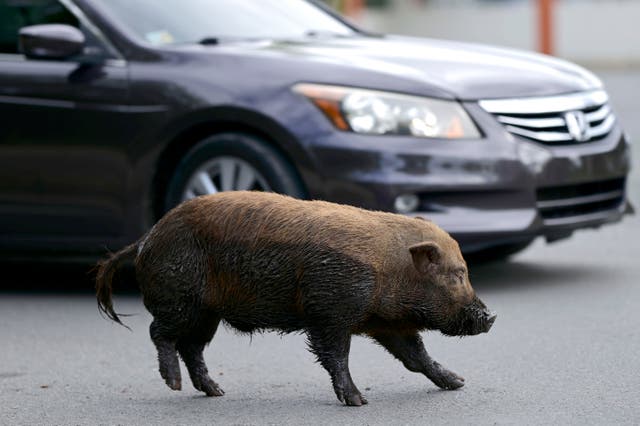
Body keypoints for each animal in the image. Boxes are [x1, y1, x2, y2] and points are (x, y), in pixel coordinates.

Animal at [96, 191, 496, 406]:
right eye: (457, 275)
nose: (490, 317)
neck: (389, 269)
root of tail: (146, 238)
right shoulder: (330, 312)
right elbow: (336, 357)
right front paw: (358, 402)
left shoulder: (386, 323)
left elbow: (416, 357)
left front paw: (457, 382)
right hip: (180, 300)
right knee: (158, 333)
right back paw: (175, 384)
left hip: (207, 314)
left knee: (192, 347)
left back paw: (217, 392)